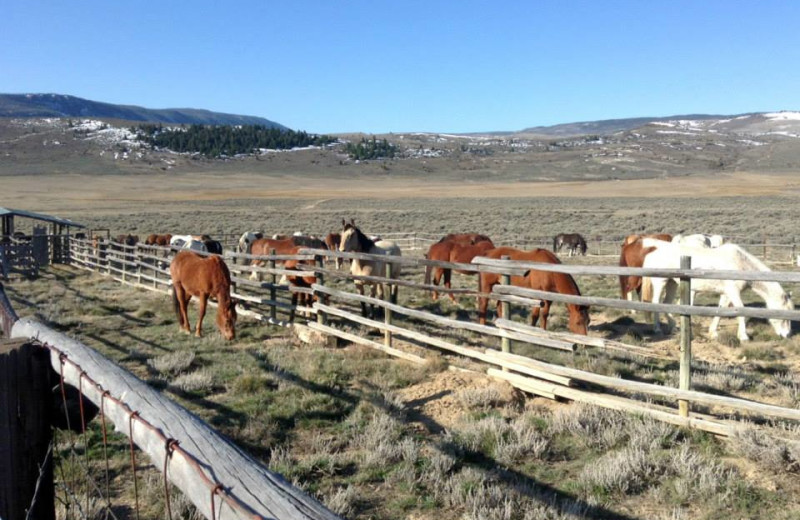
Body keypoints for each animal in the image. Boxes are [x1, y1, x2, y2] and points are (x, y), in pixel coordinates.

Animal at [636, 240, 792, 342]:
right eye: (783, 316)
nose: (786, 335)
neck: (740, 264)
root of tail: (653, 252)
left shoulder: (726, 294)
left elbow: (720, 311)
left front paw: (713, 333)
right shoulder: (733, 292)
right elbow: (741, 310)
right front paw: (744, 336)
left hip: (672, 284)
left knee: (667, 303)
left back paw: (673, 326)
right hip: (661, 282)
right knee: (656, 303)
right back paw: (658, 329)